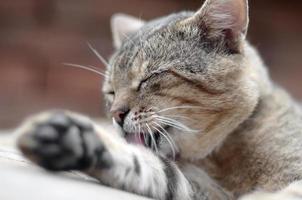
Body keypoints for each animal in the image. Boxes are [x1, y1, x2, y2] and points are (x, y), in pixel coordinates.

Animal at [15, 0, 302, 200]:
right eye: (111, 91)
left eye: (149, 77)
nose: (116, 114)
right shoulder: (197, 186)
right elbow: (154, 169)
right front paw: (77, 141)